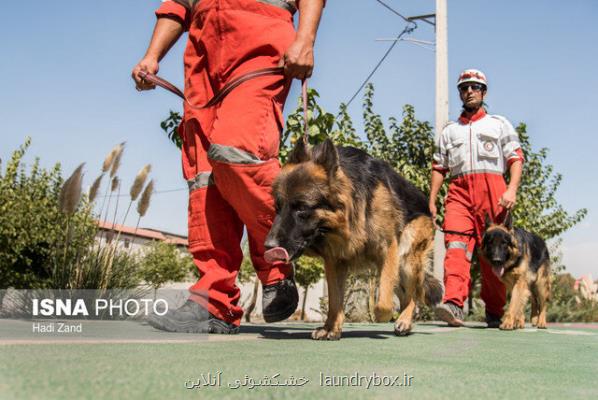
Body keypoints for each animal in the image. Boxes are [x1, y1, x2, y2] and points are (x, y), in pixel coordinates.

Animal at [264, 139, 442, 340]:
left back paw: (404, 320)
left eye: (302, 208)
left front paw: (380, 316)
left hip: (406, 259)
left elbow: (382, 304)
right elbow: (335, 300)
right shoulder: (334, 261)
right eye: (278, 207)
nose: (268, 246)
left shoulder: (388, 248)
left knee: (412, 294)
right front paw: (331, 328)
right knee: (403, 294)